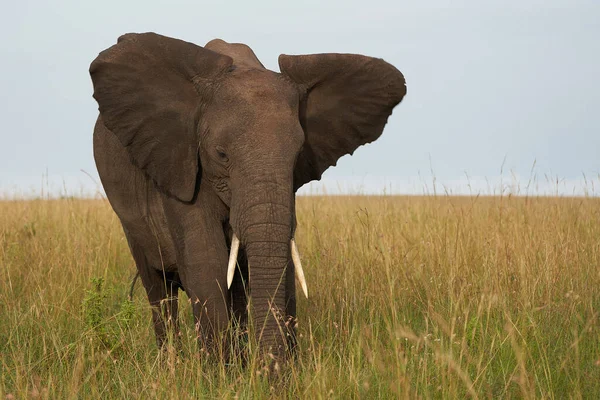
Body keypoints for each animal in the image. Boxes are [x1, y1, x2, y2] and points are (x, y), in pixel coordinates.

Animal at [89, 32, 408, 366]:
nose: (273, 369)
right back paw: (172, 366)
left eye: (298, 154)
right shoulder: (179, 165)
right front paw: (219, 375)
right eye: (221, 154)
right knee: (159, 289)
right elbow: (207, 263)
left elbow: (279, 263)